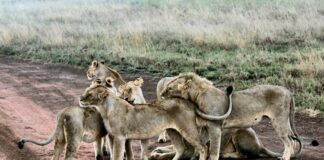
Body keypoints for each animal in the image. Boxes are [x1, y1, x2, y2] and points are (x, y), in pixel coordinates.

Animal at [79, 82, 210, 159]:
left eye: (89, 94)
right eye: (85, 91)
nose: (80, 98)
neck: (105, 108)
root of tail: (188, 102)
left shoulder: (119, 137)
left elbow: (117, 155)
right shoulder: (112, 136)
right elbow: (114, 155)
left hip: (188, 130)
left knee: (203, 148)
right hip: (173, 130)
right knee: (182, 149)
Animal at [162, 72, 304, 160]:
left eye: (169, 88)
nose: (162, 94)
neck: (196, 98)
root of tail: (287, 91)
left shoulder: (215, 127)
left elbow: (213, 151)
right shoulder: (206, 127)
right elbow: (202, 147)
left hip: (279, 120)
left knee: (289, 140)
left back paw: (285, 157)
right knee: (291, 139)